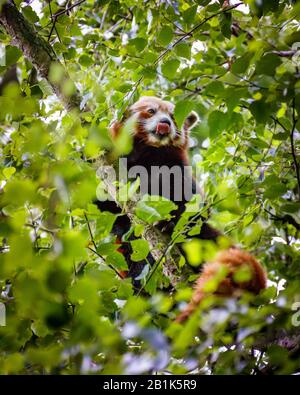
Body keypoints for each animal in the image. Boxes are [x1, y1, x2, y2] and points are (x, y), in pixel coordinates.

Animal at [101, 96, 268, 322]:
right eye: (151, 111)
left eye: (173, 116)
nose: (165, 123)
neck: (149, 151)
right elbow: (109, 210)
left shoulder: (176, 168)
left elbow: (195, 207)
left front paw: (169, 222)